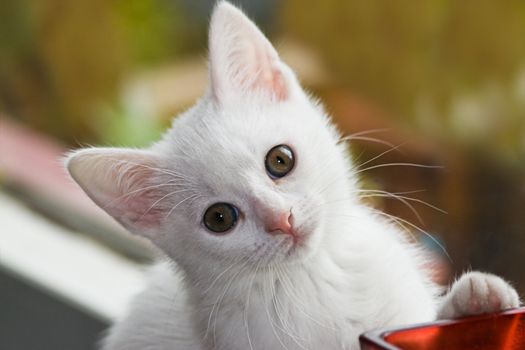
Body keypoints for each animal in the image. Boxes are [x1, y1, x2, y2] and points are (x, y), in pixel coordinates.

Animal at [66, 1, 520, 348]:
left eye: (280, 160)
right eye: (219, 218)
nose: (281, 219)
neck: (314, 279)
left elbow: (417, 321)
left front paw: (475, 301)